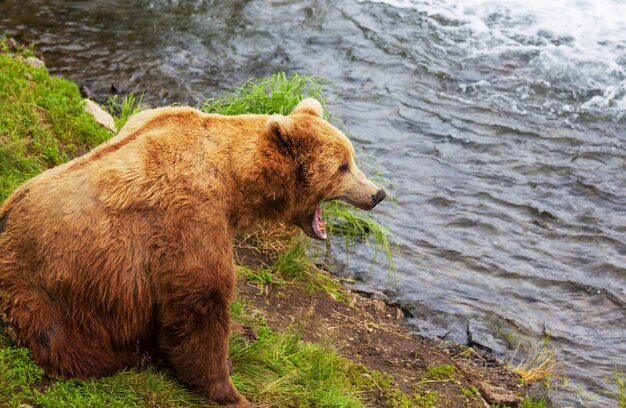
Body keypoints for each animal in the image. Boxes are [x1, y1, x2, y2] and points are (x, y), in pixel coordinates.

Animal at [0, 98, 386, 404]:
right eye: (343, 165)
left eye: (352, 157)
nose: (378, 193)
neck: (235, 182)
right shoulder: (189, 216)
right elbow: (198, 304)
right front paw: (231, 391)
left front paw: (242, 331)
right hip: (58, 300)